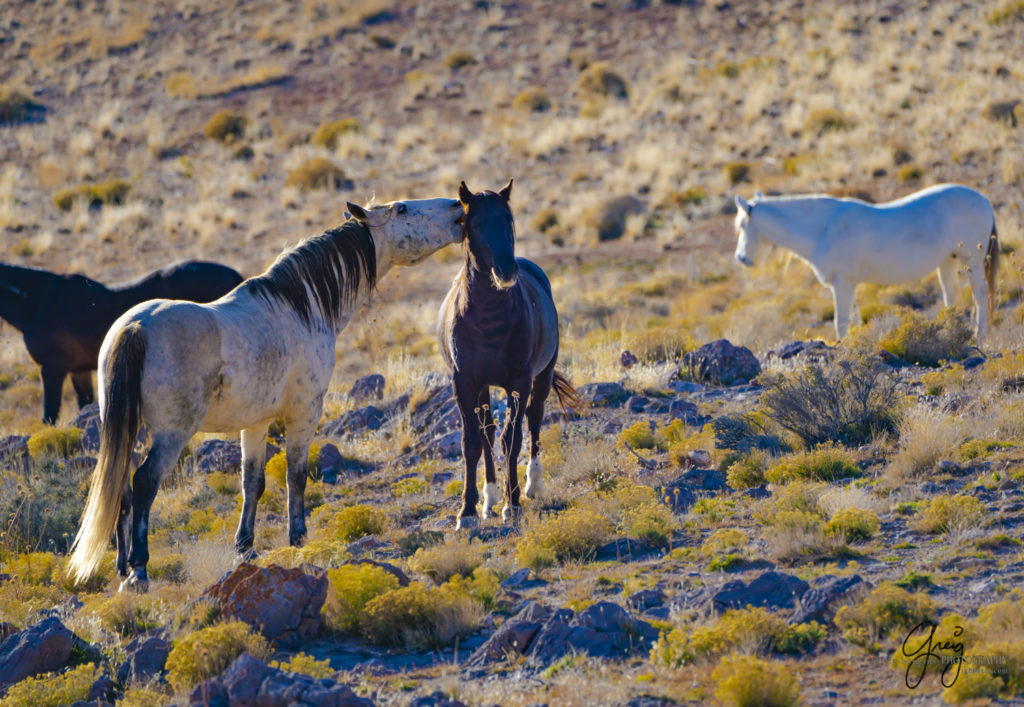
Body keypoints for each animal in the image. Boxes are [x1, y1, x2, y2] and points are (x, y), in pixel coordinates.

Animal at [67, 195, 460, 586]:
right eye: (402, 209)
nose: (457, 206)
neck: (299, 307)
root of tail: (134, 327)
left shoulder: (255, 423)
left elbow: (252, 482)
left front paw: (244, 546)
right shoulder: (304, 412)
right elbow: (295, 476)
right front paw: (298, 538)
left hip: (128, 427)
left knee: (120, 484)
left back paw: (121, 565)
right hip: (171, 432)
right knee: (145, 481)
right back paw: (139, 569)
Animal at [436, 181, 581, 528]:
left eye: (509, 218)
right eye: (473, 223)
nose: (506, 271)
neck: (486, 318)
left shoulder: (520, 380)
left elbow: (511, 439)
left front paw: (512, 503)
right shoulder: (464, 382)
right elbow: (472, 442)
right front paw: (468, 511)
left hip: (542, 377)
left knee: (534, 420)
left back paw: (532, 486)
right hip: (484, 387)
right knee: (487, 432)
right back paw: (489, 498)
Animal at [737, 183, 999, 340]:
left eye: (741, 225)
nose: (741, 258)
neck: (822, 228)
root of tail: (984, 200)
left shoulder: (842, 284)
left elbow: (841, 322)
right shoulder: (848, 285)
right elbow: (855, 319)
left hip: (972, 263)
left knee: (980, 296)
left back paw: (980, 336)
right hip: (948, 263)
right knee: (950, 296)